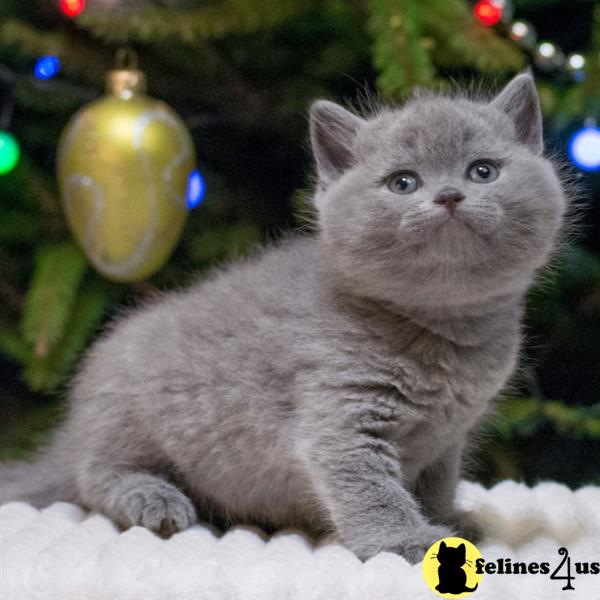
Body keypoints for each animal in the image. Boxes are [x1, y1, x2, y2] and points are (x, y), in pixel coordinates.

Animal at [0, 74, 568, 564]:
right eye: (403, 182)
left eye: (483, 171)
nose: (449, 195)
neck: (443, 329)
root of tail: (73, 425)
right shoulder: (338, 417)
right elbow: (370, 489)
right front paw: (406, 541)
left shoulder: (448, 438)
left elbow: (435, 482)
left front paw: (447, 518)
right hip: (123, 417)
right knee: (92, 478)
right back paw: (154, 499)